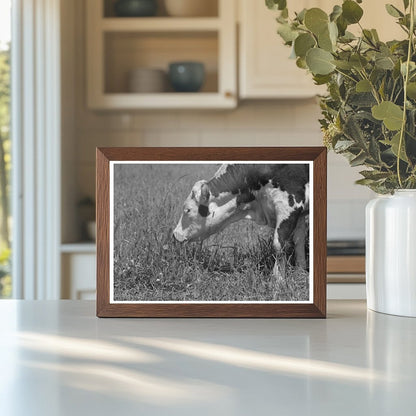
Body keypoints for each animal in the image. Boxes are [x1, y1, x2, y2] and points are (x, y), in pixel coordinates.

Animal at [172, 163, 308, 280]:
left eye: (188, 210)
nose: (175, 234)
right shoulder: (299, 214)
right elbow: (299, 241)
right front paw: (301, 271)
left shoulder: (289, 204)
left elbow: (279, 245)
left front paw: (278, 279)